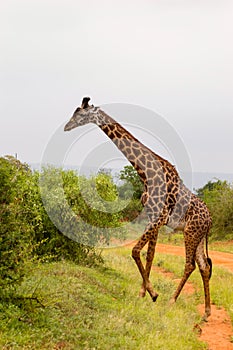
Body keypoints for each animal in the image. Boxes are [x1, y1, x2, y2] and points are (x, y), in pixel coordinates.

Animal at [64, 96, 213, 320]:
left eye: (80, 113)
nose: (66, 127)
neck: (146, 174)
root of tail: (210, 220)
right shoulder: (152, 216)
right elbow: (150, 254)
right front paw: (144, 292)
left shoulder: (159, 217)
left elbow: (135, 251)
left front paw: (153, 293)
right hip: (198, 235)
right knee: (203, 266)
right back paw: (206, 312)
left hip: (191, 232)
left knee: (190, 265)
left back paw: (172, 300)